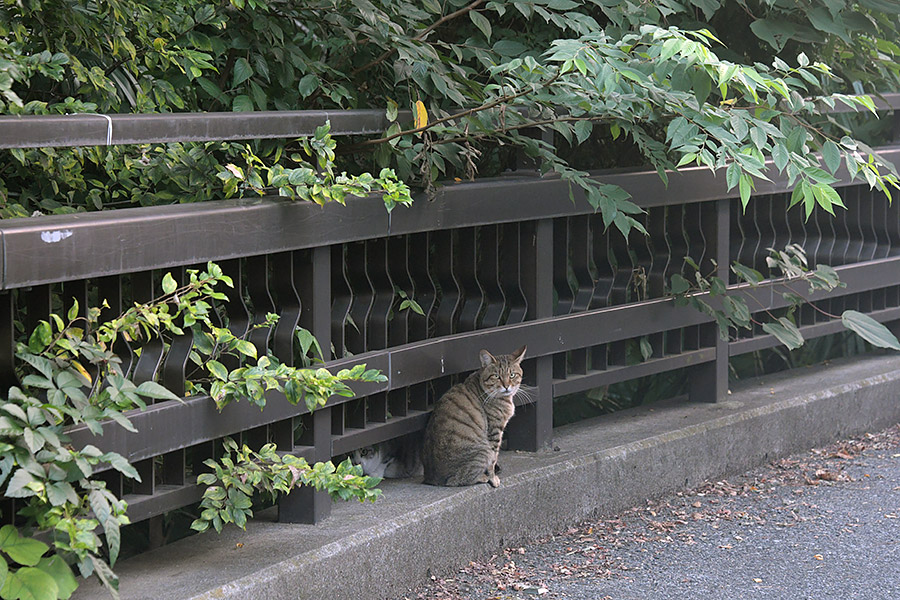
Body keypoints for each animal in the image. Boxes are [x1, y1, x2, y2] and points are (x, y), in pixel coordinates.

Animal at [422, 346, 528, 488]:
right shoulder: (495, 432)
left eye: (512, 375)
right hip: (484, 450)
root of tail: (431, 478)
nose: (506, 386)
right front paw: (493, 478)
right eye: (496, 376)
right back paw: (482, 477)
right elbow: (493, 461)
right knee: (455, 479)